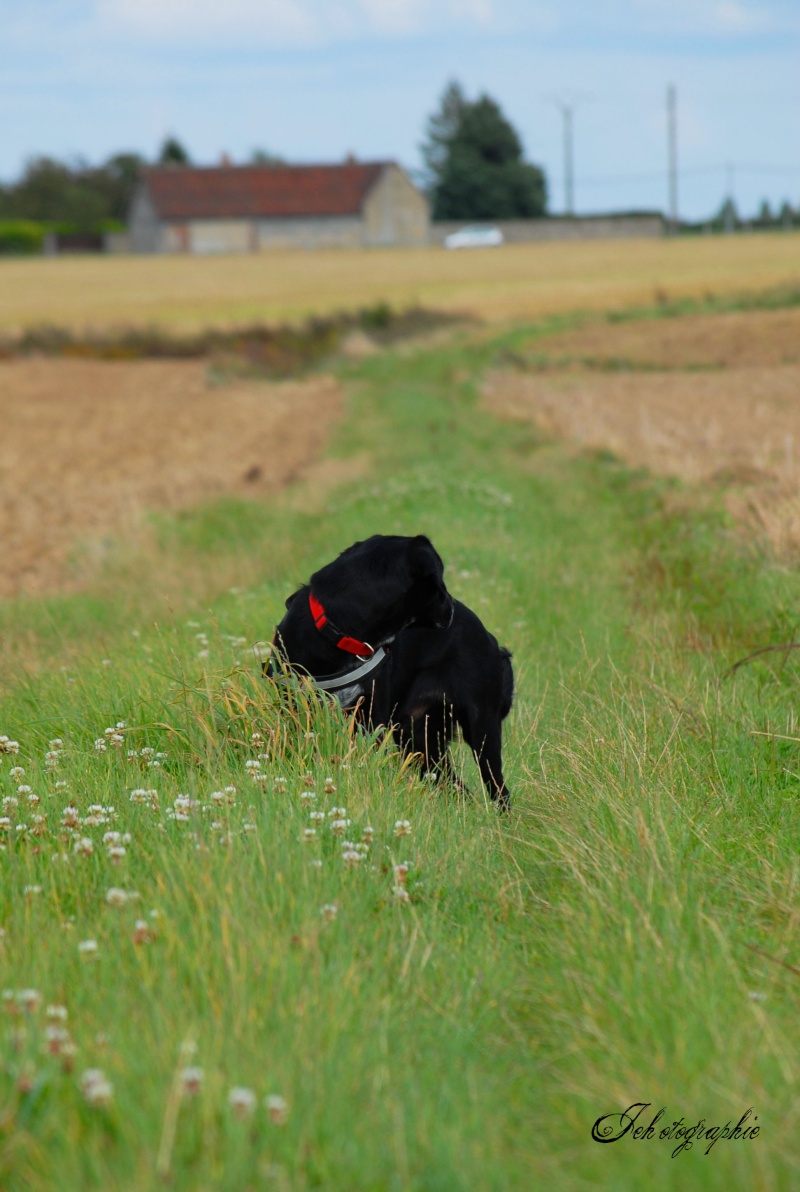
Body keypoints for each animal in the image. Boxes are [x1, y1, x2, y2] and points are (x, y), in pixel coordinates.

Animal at [265, 536, 517, 805]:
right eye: (438, 584)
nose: (451, 606)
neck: (339, 631)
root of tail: (491, 641)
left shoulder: (371, 721)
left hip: (480, 727)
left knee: (498, 787)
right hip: (419, 738)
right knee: (457, 786)